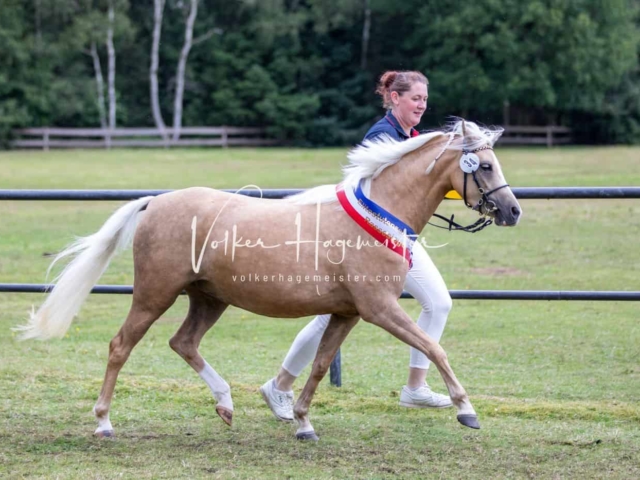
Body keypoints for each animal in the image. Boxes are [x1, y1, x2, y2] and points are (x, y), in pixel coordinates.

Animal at [17, 119, 520, 438]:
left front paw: (302, 422)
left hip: (209, 298)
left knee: (184, 342)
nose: (513, 211)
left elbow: (319, 365)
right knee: (121, 346)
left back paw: (225, 404)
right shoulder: (380, 309)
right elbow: (434, 347)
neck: (379, 217)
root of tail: (156, 201)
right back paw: (103, 422)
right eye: (485, 166)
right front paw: (467, 410)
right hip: (154, 294)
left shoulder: (347, 313)